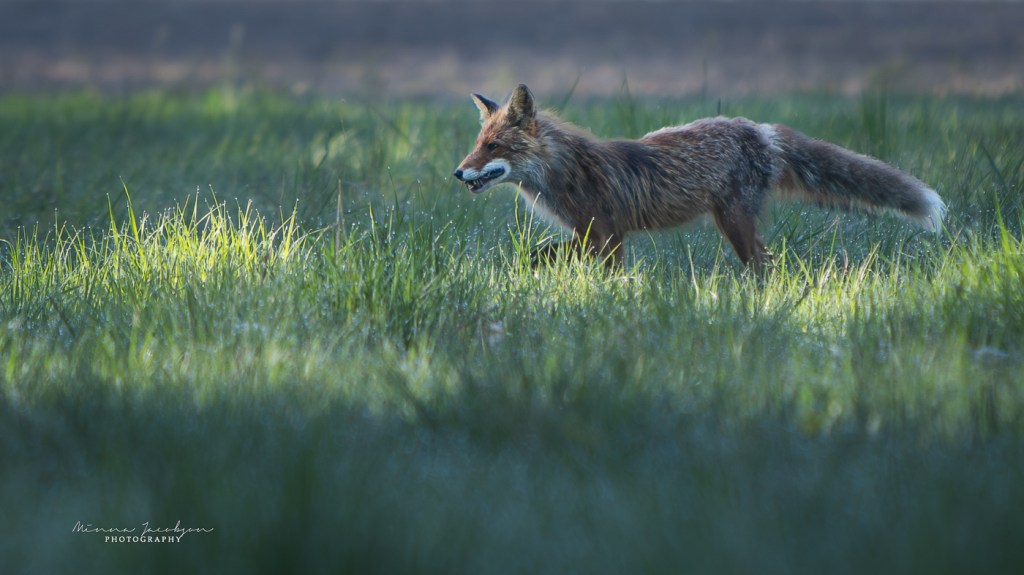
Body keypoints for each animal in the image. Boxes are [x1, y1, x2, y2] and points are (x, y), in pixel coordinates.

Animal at [453, 84, 946, 272]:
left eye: (493, 147)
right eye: (478, 143)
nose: (458, 172)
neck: (565, 171)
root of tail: (759, 129)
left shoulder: (607, 235)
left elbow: (595, 269)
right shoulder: (589, 235)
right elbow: (539, 254)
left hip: (734, 223)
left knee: (763, 264)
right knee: (771, 260)